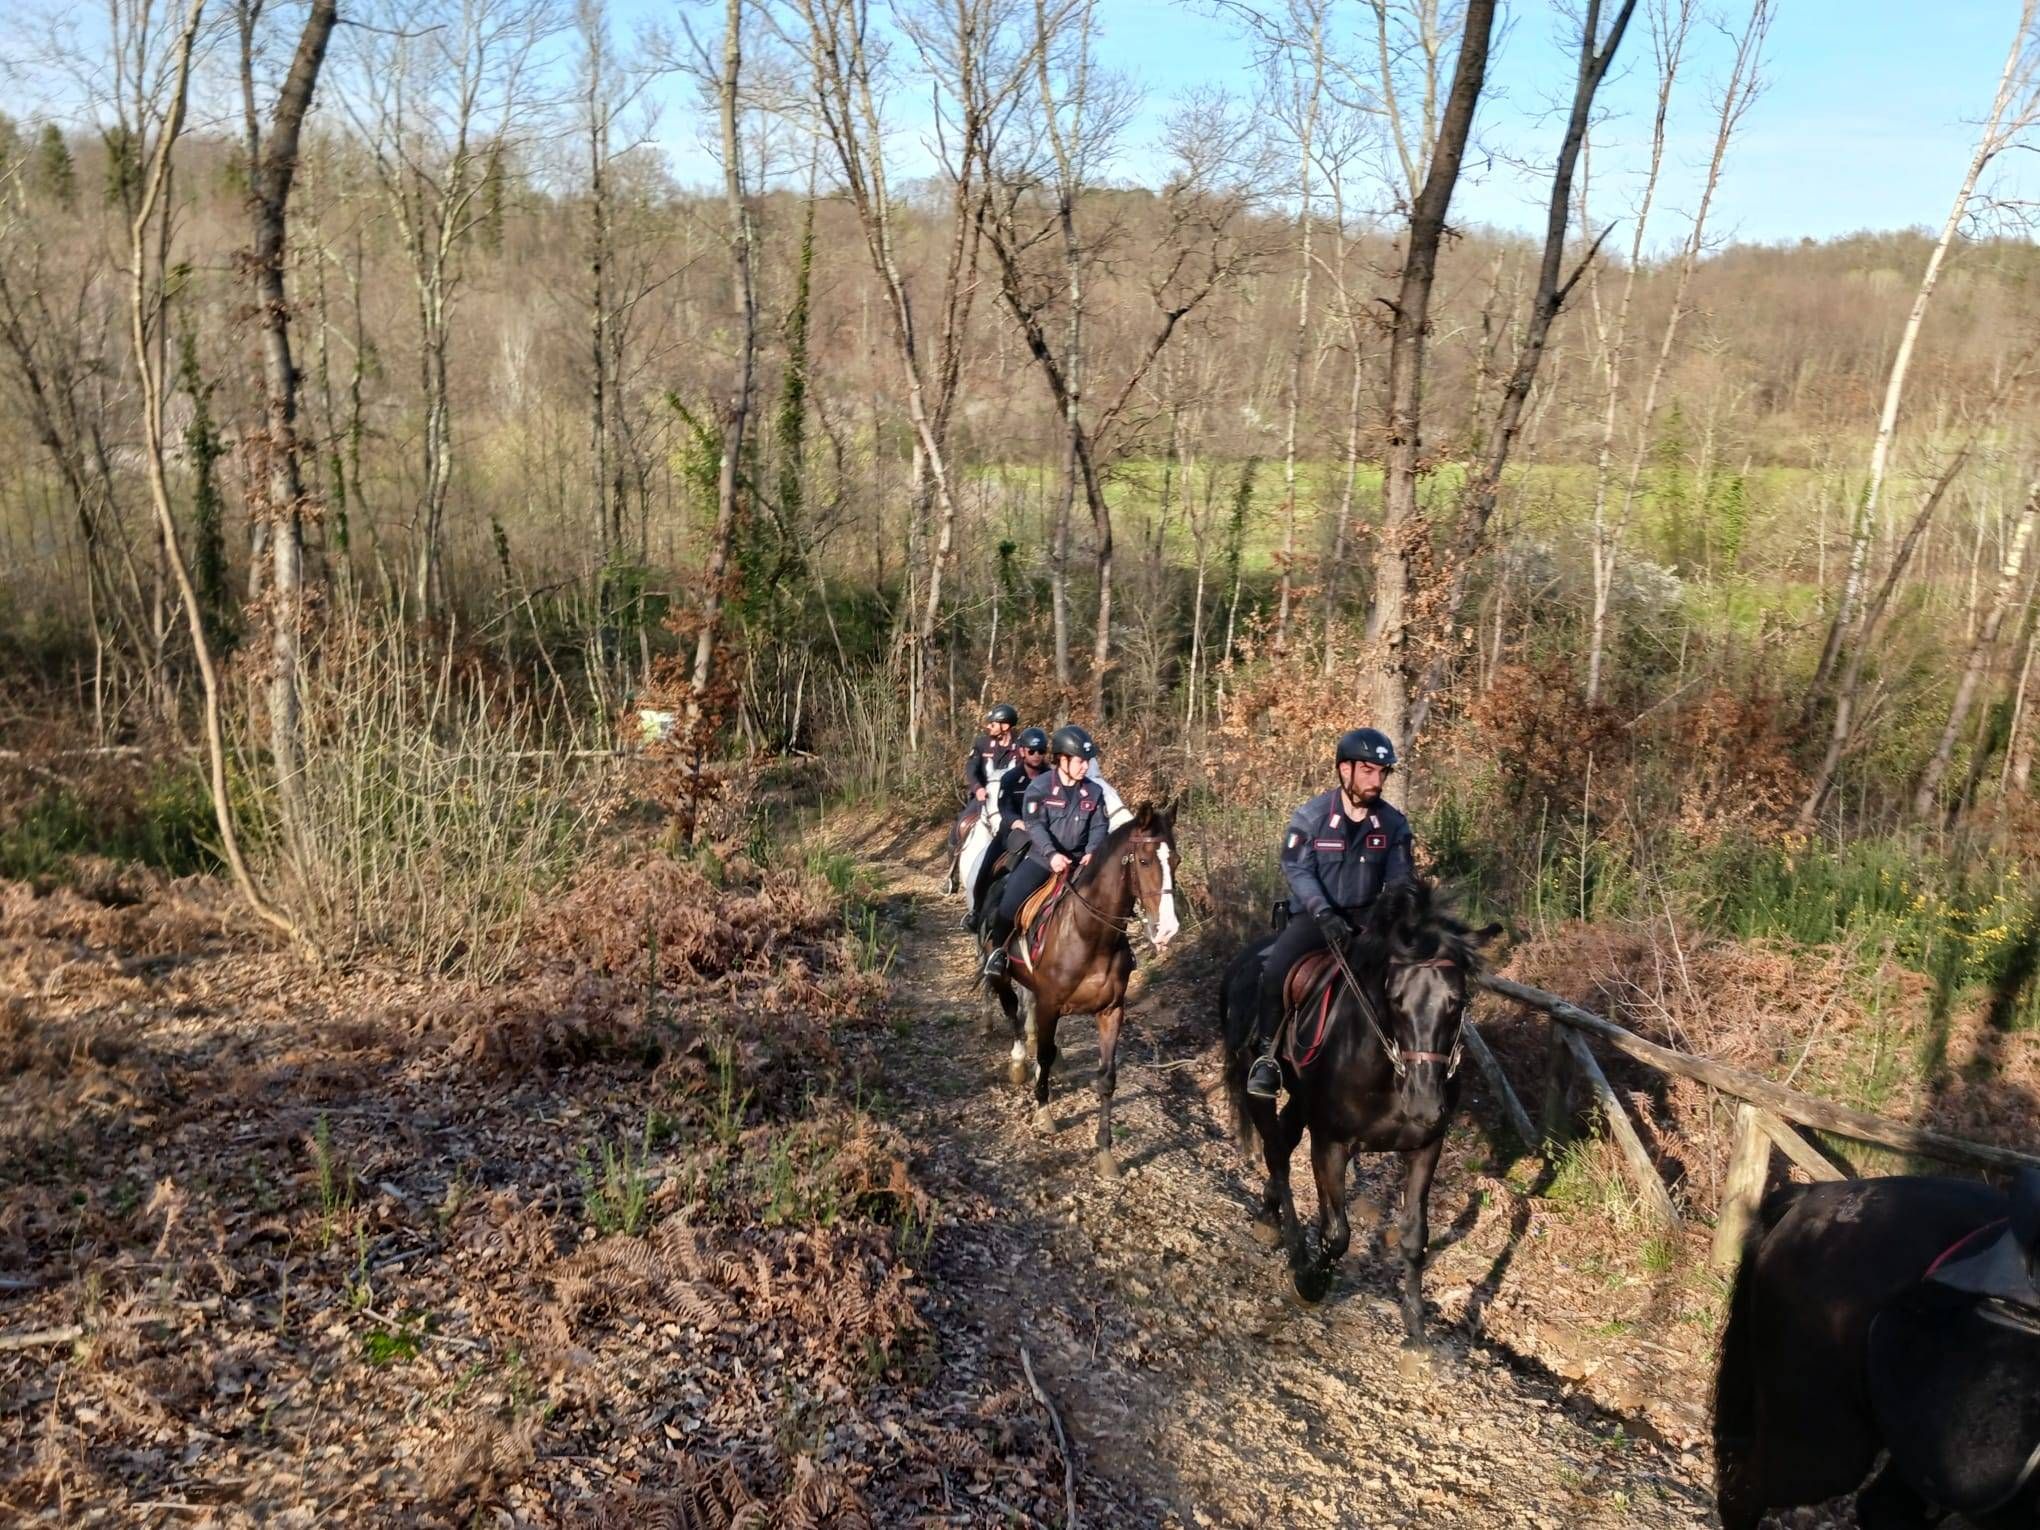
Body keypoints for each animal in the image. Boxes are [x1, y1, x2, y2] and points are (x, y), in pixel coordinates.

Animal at [978, 803, 1181, 1174]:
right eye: (1145, 861)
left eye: (1176, 860)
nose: (1167, 930)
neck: (1089, 935)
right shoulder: (1050, 1004)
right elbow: (1042, 1052)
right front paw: (1044, 1112)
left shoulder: (1111, 1011)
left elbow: (1107, 1077)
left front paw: (1105, 1152)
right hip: (999, 972)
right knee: (1012, 1010)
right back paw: (1018, 1062)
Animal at [1218, 881, 1497, 1342]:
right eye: (1395, 1000)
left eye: (1457, 1002)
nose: (1425, 1104)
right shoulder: (1330, 1143)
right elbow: (1337, 1234)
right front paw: (1310, 1282)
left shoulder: (1426, 1147)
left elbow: (1415, 1237)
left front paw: (1416, 1326)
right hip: (1254, 1080)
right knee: (1276, 1154)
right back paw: (1286, 1239)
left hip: (1301, 1101)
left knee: (1284, 1140)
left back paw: (1269, 1215)